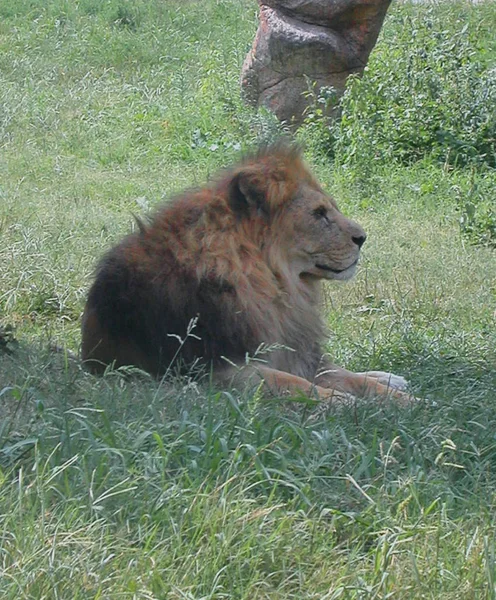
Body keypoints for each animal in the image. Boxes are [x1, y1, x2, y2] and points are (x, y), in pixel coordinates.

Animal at [81, 143, 412, 404]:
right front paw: (344, 402)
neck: (279, 288)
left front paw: (408, 402)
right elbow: (292, 382)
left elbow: (353, 378)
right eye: (319, 214)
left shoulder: (294, 350)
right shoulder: (211, 370)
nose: (363, 237)